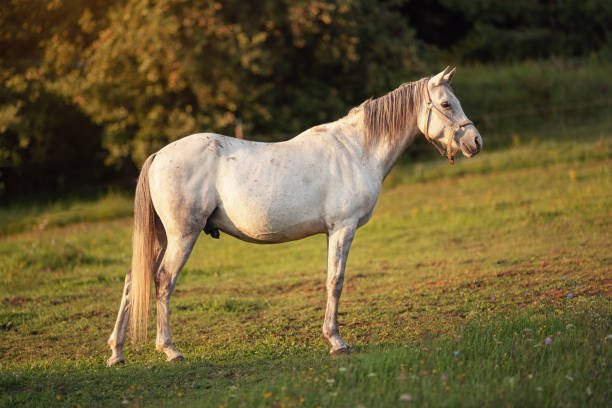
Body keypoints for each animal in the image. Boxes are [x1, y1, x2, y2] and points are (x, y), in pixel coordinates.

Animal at [109, 67, 482, 366]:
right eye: (446, 105)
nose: (476, 142)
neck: (355, 151)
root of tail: (158, 156)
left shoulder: (333, 232)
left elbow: (331, 280)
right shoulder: (343, 229)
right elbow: (336, 281)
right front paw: (337, 342)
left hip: (161, 237)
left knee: (133, 279)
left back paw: (117, 353)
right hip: (181, 236)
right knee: (164, 281)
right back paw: (169, 350)